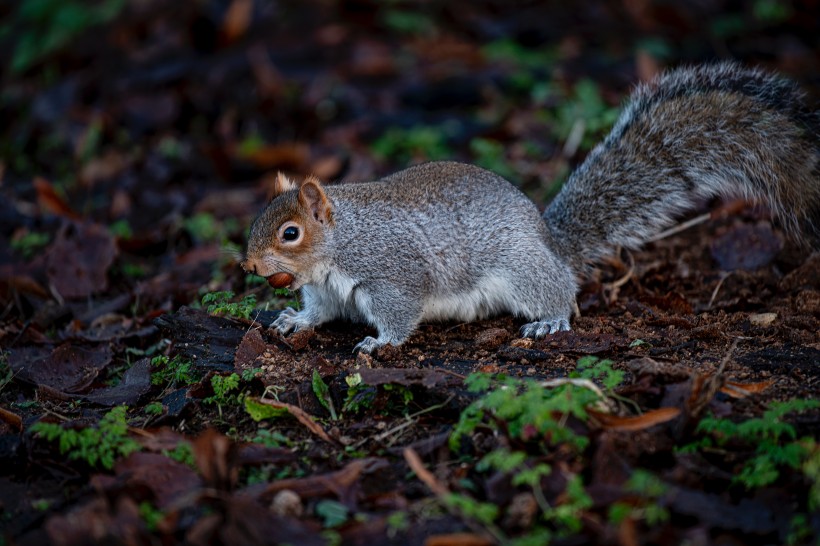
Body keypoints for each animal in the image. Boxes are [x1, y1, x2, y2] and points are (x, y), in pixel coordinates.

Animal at [242, 62, 820, 352]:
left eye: (290, 232)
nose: (246, 265)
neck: (341, 243)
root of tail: (549, 239)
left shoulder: (392, 275)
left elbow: (399, 315)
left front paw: (378, 344)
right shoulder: (326, 290)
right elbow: (318, 311)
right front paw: (293, 320)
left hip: (521, 271)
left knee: (561, 292)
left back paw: (549, 322)